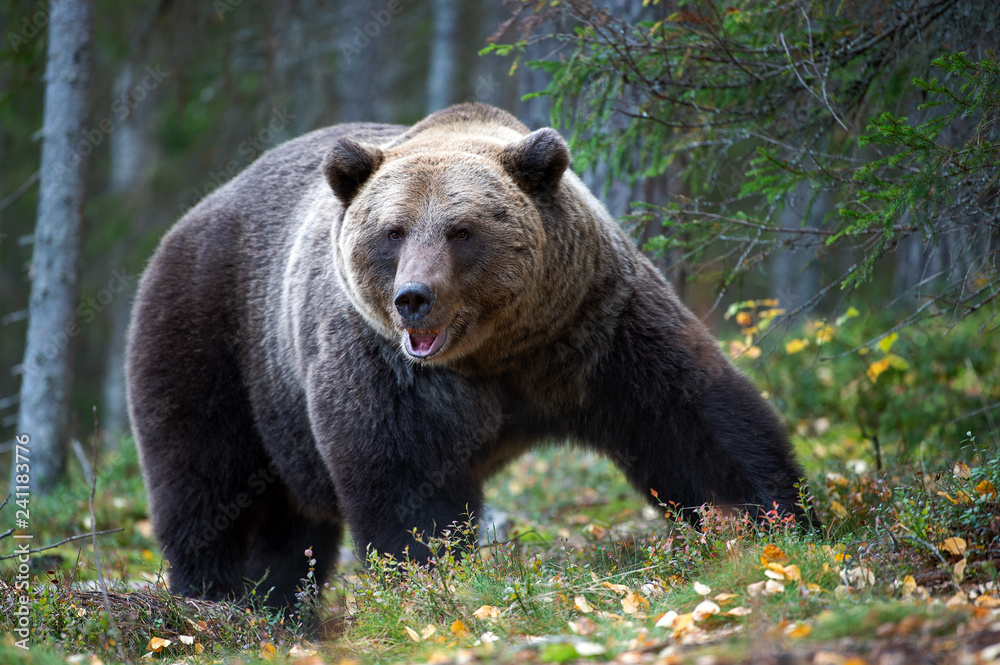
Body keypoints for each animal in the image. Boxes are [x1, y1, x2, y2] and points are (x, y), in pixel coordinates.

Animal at [126, 103, 814, 606]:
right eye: (393, 231)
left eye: (461, 230)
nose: (413, 298)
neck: (498, 352)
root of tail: (190, 219)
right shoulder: (391, 367)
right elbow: (405, 478)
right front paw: (426, 577)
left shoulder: (593, 325)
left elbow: (687, 422)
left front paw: (777, 519)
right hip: (218, 338)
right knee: (208, 482)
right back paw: (216, 598)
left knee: (286, 527)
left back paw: (277, 604)